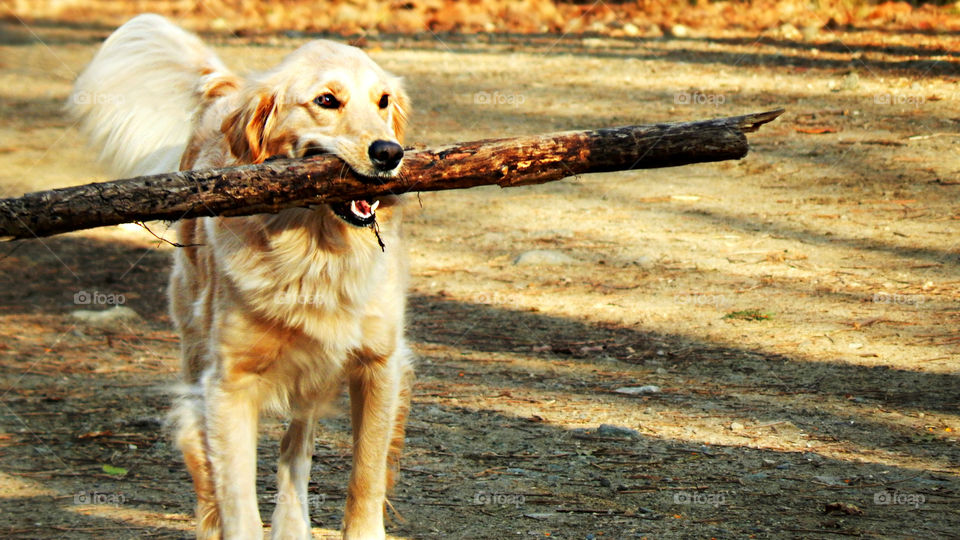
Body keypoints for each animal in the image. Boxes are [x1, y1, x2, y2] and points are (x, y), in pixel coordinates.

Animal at [67, 13, 412, 540]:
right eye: (326, 101)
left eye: (383, 101)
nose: (389, 152)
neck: (315, 250)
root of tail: (229, 89)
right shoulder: (229, 383)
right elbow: (236, 497)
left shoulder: (379, 364)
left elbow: (365, 478)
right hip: (194, 344)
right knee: (204, 456)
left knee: (296, 444)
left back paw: (292, 522)